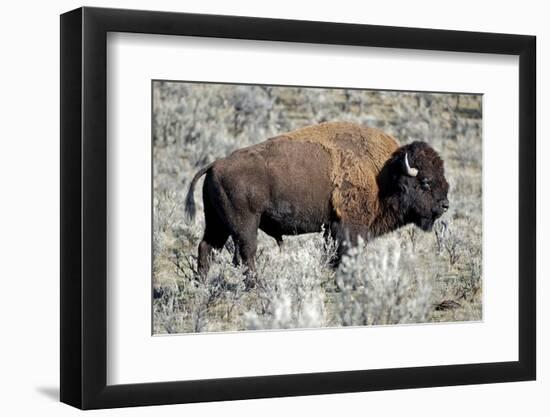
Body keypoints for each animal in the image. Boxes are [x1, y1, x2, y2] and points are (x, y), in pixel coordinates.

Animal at [184, 121, 448, 282]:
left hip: (217, 223)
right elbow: (346, 254)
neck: (382, 173)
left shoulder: (332, 227)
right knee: (246, 253)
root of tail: (216, 164)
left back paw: (202, 283)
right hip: (244, 225)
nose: (445, 205)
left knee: (207, 247)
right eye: (425, 181)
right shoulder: (350, 227)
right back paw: (253, 285)